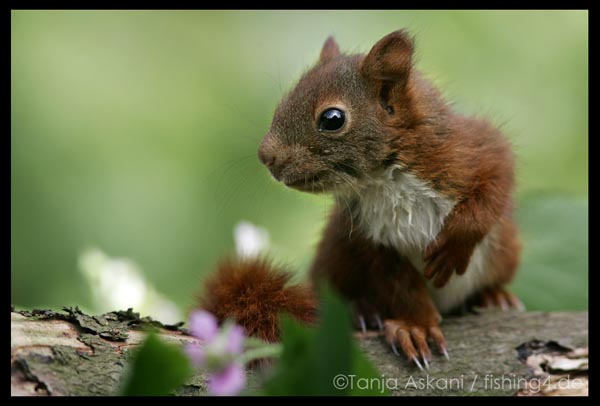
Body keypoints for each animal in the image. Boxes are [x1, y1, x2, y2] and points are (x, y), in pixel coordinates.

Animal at [199, 30, 524, 370]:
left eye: (332, 118)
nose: (266, 156)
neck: (382, 180)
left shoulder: (469, 150)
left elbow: (496, 181)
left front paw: (455, 246)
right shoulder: (369, 238)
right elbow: (401, 287)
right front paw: (416, 327)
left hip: (506, 249)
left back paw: (493, 296)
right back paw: (363, 311)